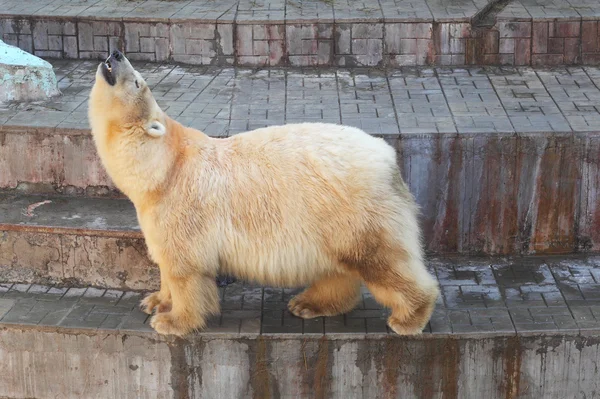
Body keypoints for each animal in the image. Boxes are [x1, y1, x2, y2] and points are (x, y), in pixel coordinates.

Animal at [86, 50, 438, 338]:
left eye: (137, 81)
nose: (115, 53)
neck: (163, 166)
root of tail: (387, 156)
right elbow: (163, 261)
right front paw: (155, 300)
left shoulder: (181, 206)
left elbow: (185, 268)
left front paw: (172, 321)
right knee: (339, 266)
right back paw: (308, 304)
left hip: (356, 209)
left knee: (381, 260)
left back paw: (408, 318)